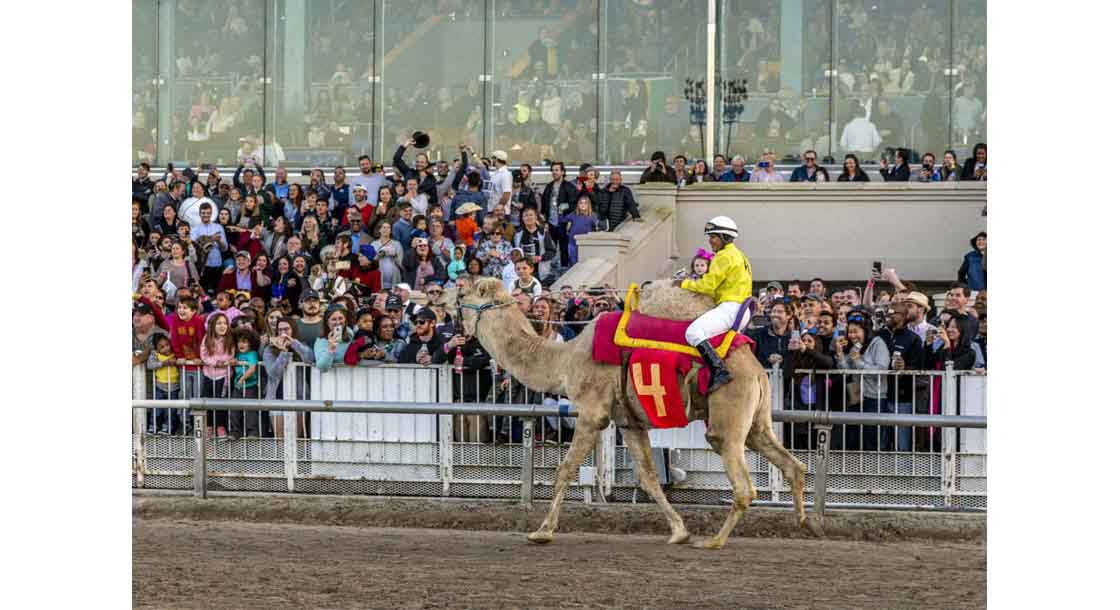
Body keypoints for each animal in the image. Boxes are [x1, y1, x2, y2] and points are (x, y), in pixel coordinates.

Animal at [436, 275, 824, 546]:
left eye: (463, 293)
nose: (441, 296)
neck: (565, 360)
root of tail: (757, 370)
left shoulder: (592, 413)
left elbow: (564, 470)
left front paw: (542, 531)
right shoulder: (629, 422)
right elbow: (649, 478)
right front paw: (679, 532)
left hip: (727, 419)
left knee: (744, 485)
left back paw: (714, 541)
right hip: (757, 421)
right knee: (792, 465)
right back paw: (808, 525)